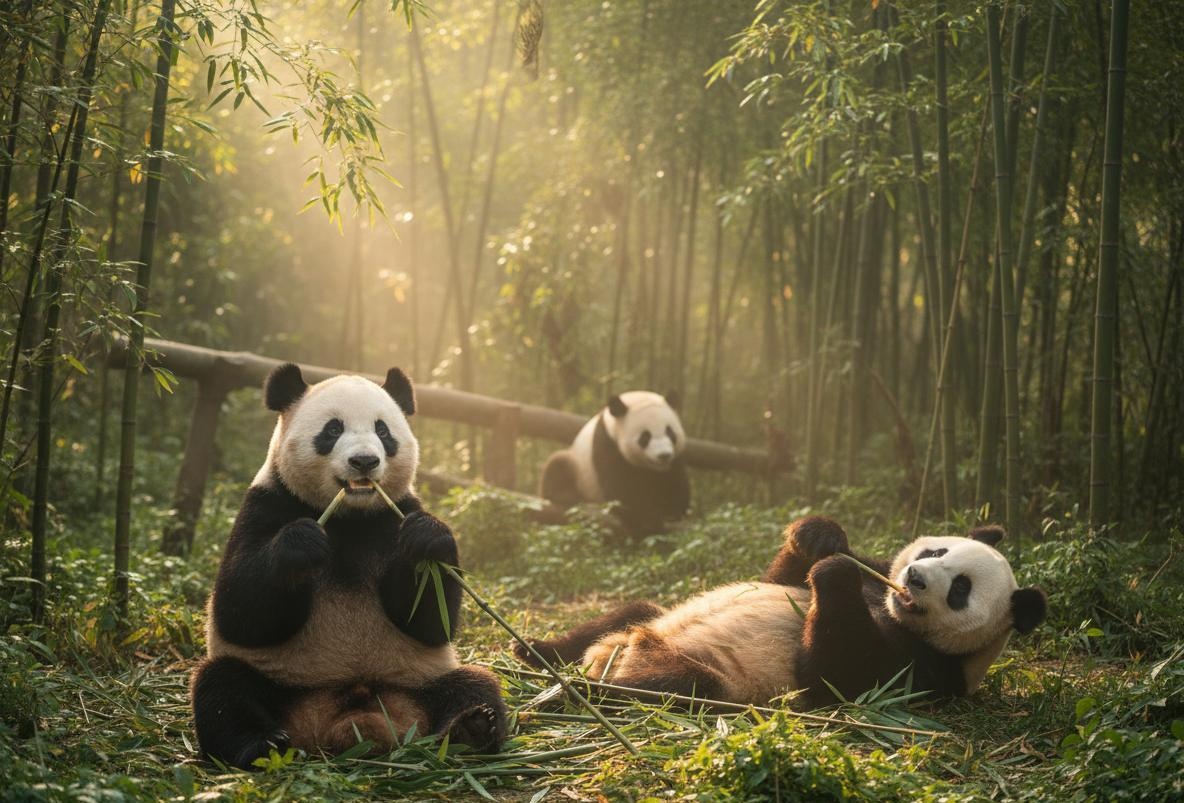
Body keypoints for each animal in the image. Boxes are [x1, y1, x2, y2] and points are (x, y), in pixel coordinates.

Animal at [190, 363, 507, 769]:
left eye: (383, 431)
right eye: (333, 429)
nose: (364, 461)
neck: (350, 517)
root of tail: (341, 722)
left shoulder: (395, 513)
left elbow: (431, 620)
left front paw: (427, 538)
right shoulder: (266, 505)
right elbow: (239, 612)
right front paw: (301, 545)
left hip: (418, 682)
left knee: (474, 684)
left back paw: (471, 728)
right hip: (280, 684)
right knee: (223, 688)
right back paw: (263, 745)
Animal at [513, 516, 1046, 709]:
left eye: (960, 590)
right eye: (937, 551)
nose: (914, 578)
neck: (889, 608)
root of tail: (612, 657)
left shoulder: (926, 668)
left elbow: (835, 674)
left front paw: (834, 571)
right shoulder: (878, 576)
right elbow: (778, 579)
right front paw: (822, 538)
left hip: (709, 677)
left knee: (670, 688)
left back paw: (575, 692)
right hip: (642, 620)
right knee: (630, 611)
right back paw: (534, 652)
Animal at [539, 391, 690, 536]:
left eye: (670, 433)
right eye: (645, 437)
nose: (664, 455)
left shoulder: (674, 460)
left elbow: (675, 482)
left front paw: (671, 512)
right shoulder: (607, 443)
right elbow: (620, 489)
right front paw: (649, 521)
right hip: (577, 467)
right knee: (558, 464)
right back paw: (566, 496)